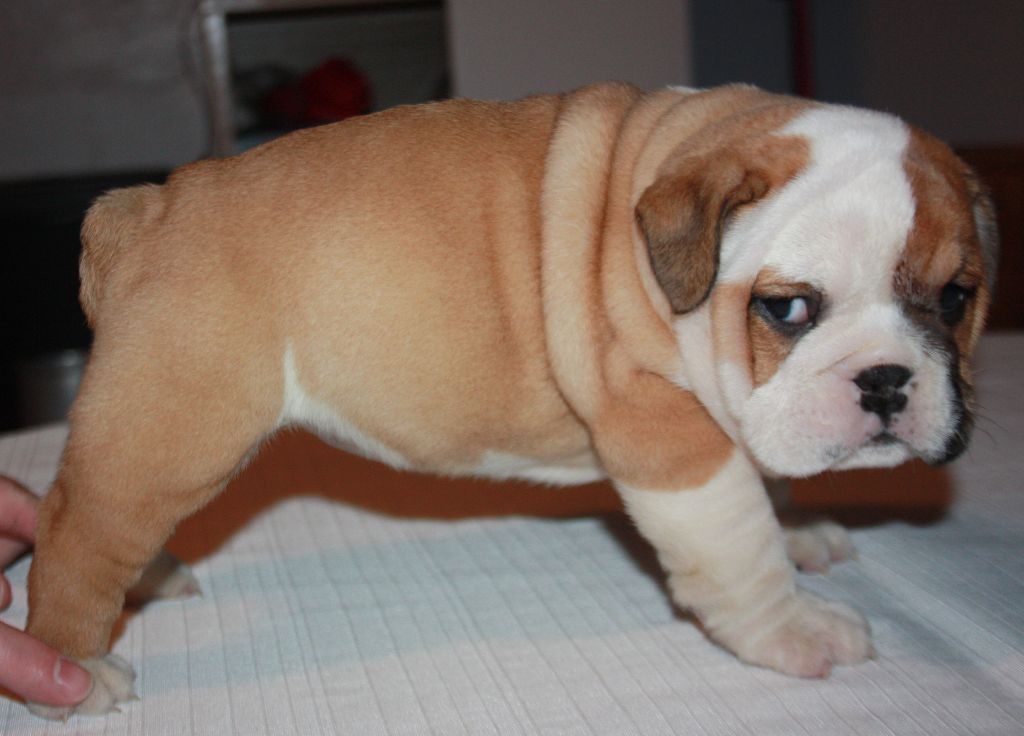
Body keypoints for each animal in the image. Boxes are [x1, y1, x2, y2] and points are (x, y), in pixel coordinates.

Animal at [25, 83, 997, 718]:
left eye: (957, 299)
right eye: (789, 309)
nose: (887, 380)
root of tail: (145, 209)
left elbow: (772, 472)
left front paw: (800, 527)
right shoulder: (667, 436)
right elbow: (739, 545)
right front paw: (793, 629)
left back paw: (148, 583)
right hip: (168, 431)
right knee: (75, 534)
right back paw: (72, 674)